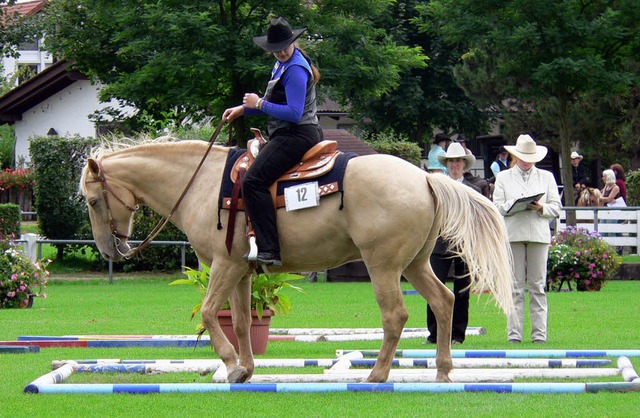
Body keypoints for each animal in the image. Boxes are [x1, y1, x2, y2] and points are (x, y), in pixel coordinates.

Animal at [80, 139, 512, 384]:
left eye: (93, 200)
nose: (109, 251)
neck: (202, 182)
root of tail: (425, 177)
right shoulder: (241, 271)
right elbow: (240, 321)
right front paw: (246, 369)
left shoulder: (223, 265)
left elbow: (207, 312)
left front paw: (230, 365)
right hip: (416, 264)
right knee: (444, 301)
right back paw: (442, 370)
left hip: (384, 266)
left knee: (396, 316)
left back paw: (376, 374)